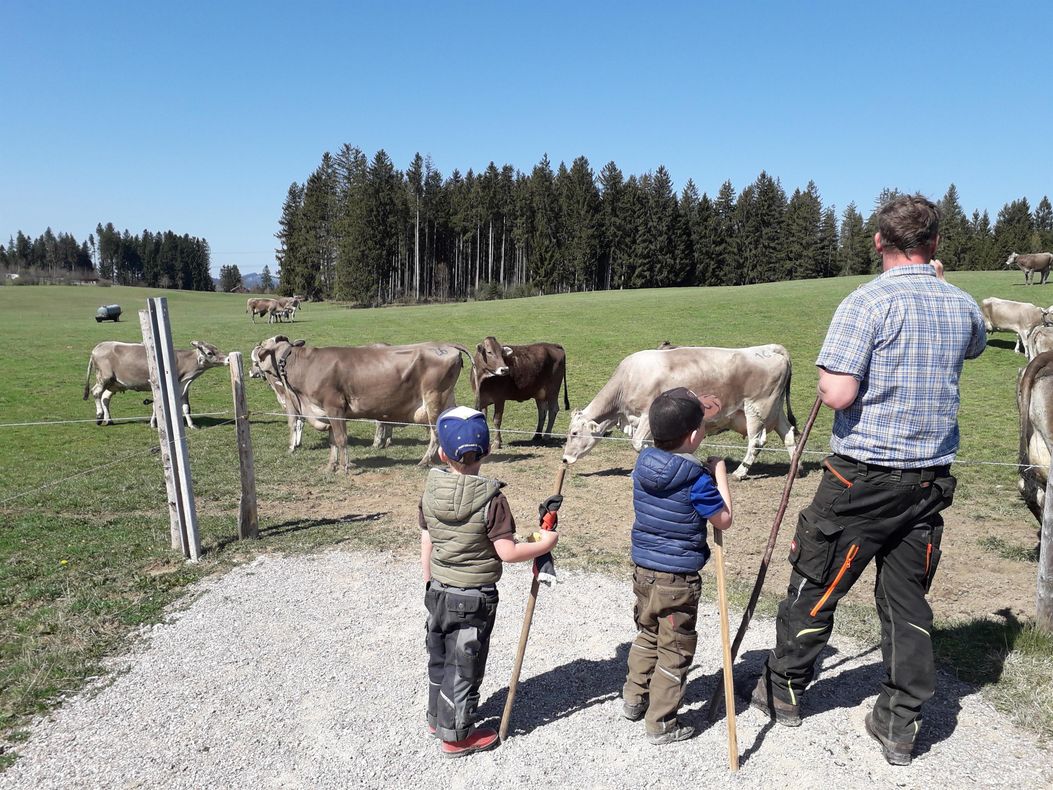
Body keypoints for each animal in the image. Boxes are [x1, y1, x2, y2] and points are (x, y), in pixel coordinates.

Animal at [83, 340, 228, 428]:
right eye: (210, 353)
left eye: (216, 349)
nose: (227, 359)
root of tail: (99, 346)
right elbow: (156, 406)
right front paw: (154, 424)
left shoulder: (183, 386)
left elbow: (186, 407)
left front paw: (192, 425)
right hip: (104, 378)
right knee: (96, 392)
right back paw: (99, 416)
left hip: (115, 383)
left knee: (105, 398)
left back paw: (109, 419)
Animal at [250, 336, 472, 471]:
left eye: (256, 357)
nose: (252, 372)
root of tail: (446, 345)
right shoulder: (327, 411)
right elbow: (332, 440)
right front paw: (331, 466)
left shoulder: (335, 406)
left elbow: (341, 439)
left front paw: (345, 467)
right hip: (446, 399)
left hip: (434, 398)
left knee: (435, 434)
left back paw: (424, 461)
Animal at [561, 344, 797, 480]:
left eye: (574, 433)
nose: (564, 459)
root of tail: (770, 348)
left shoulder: (647, 415)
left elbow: (639, 443)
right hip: (775, 411)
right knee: (789, 435)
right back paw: (794, 468)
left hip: (757, 409)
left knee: (756, 442)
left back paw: (740, 472)